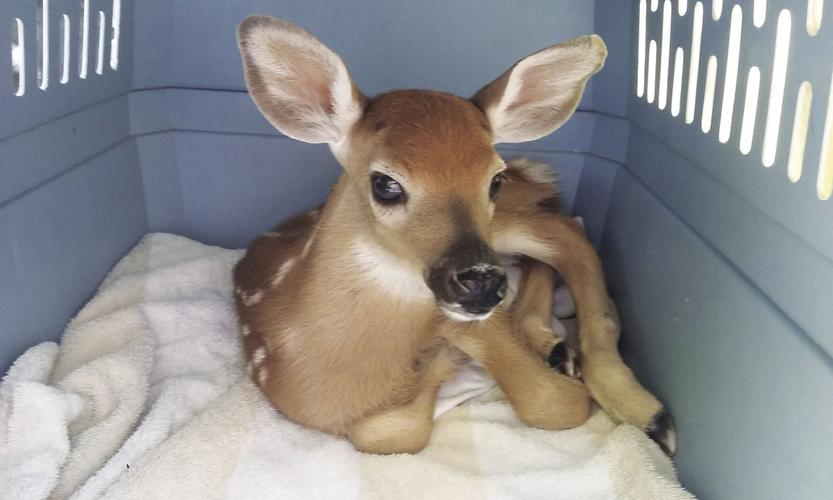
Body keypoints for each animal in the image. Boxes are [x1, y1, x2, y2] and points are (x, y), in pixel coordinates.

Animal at [232, 15, 676, 457]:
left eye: (493, 180)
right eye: (385, 184)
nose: (481, 282)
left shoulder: (467, 319)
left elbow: (555, 403)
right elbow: (388, 431)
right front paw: (436, 366)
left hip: (504, 231)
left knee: (566, 232)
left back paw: (648, 414)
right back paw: (555, 347)